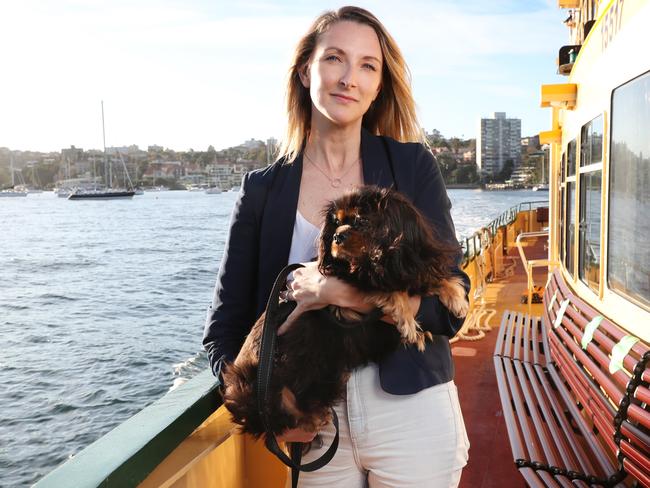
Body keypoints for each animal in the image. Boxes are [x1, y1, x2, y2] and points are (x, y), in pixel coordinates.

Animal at [221, 186, 466, 438]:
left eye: (362, 221)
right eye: (336, 223)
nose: (337, 237)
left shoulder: (402, 267)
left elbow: (426, 278)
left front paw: (454, 295)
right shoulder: (352, 284)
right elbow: (390, 290)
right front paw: (409, 322)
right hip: (254, 388)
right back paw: (314, 419)